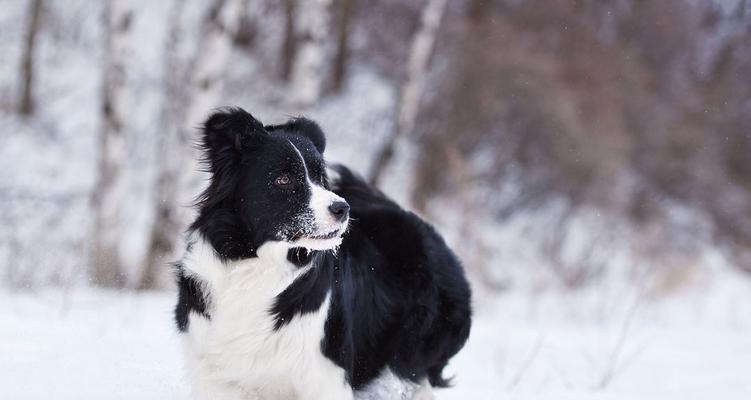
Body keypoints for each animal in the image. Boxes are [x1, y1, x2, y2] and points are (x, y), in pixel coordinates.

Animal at [173, 108, 472, 398]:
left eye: (319, 177)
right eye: (283, 179)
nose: (342, 209)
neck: (255, 265)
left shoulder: (325, 375)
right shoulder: (215, 375)